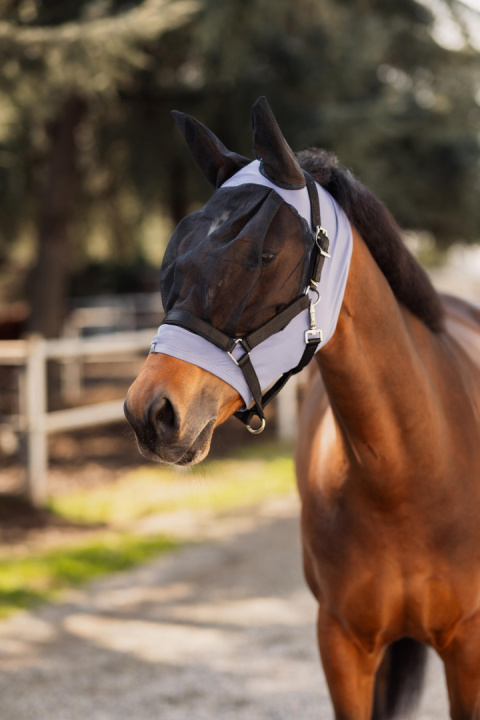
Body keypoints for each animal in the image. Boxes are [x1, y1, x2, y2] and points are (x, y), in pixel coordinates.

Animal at [124, 97, 480, 720]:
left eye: (264, 255)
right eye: (175, 254)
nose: (150, 412)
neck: (410, 474)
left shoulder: (469, 648)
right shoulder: (341, 643)